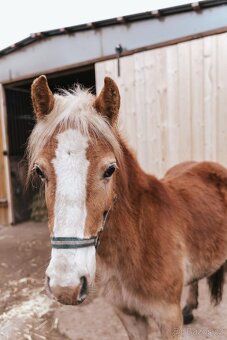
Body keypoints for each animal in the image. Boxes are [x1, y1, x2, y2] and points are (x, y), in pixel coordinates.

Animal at [27, 75, 227, 338]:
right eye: (40, 172)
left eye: (110, 169)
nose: (65, 286)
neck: (139, 239)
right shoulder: (128, 316)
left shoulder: (169, 319)